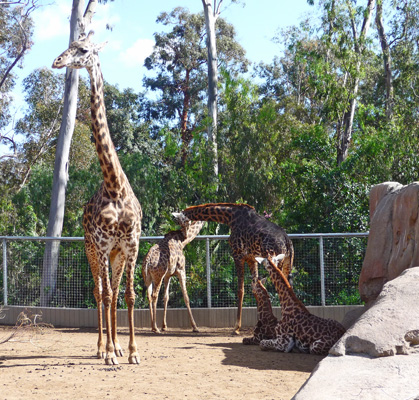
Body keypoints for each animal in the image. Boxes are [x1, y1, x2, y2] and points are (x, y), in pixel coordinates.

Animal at [52, 32, 141, 366]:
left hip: (116, 256)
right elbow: (103, 295)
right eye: (69, 45)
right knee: (97, 291)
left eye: (83, 49)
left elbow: (127, 295)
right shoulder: (102, 246)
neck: (114, 186)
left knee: (112, 293)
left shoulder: (131, 245)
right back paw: (104, 347)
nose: (57, 61)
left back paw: (116, 346)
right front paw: (110, 353)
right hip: (92, 251)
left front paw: (131, 351)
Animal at [172, 203, 294, 334]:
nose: (184, 236)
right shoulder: (251, 259)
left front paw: (236, 328)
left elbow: (241, 290)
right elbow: (255, 288)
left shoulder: (238, 255)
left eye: (181, 221)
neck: (230, 217)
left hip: (275, 262)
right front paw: (259, 323)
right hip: (287, 264)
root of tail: (288, 242)